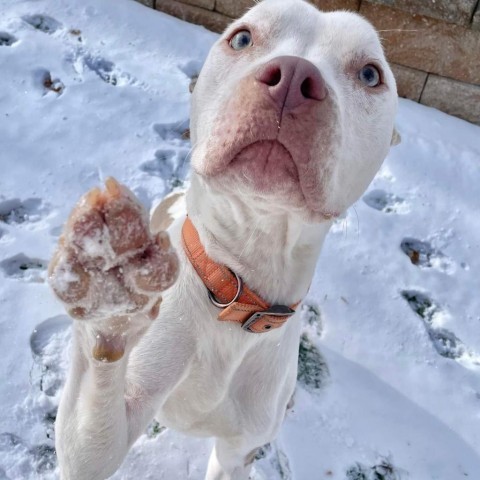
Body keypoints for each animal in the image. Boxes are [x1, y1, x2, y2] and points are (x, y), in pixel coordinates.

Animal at [48, 1, 398, 478]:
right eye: (242, 38)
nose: (293, 77)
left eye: (369, 74)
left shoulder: (238, 454)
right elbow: (93, 439)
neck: (238, 283)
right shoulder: (101, 436)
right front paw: (110, 289)